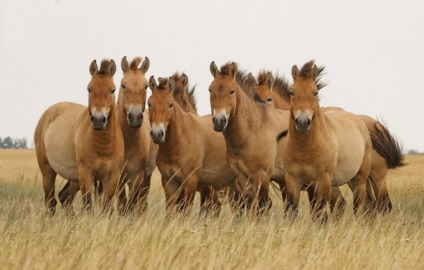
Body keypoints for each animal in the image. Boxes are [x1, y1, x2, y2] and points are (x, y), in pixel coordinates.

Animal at [34, 59, 123, 215]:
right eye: (89, 89)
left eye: (112, 90)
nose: (98, 120)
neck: (104, 145)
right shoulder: (86, 174)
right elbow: (88, 205)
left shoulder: (113, 176)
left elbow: (107, 206)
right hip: (48, 172)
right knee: (51, 202)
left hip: (74, 177)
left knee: (64, 197)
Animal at [147, 75, 237, 214]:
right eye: (149, 103)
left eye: (170, 104)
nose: (157, 134)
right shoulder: (169, 182)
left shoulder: (191, 183)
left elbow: (187, 212)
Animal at [208, 61, 290, 213]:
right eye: (210, 90)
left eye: (232, 91)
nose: (219, 121)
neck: (253, 130)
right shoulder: (242, 176)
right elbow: (248, 202)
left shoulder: (263, 176)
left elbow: (262, 205)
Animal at [284, 59, 372, 219]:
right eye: (292, 92)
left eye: (315, 92)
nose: (302, 122)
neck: (305, 149)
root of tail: (360, 122)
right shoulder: (293, 180)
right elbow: (292, 210)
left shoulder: (322, 181)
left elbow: (319, 211)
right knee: (340, 204)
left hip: (358, 181)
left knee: (358, 206)